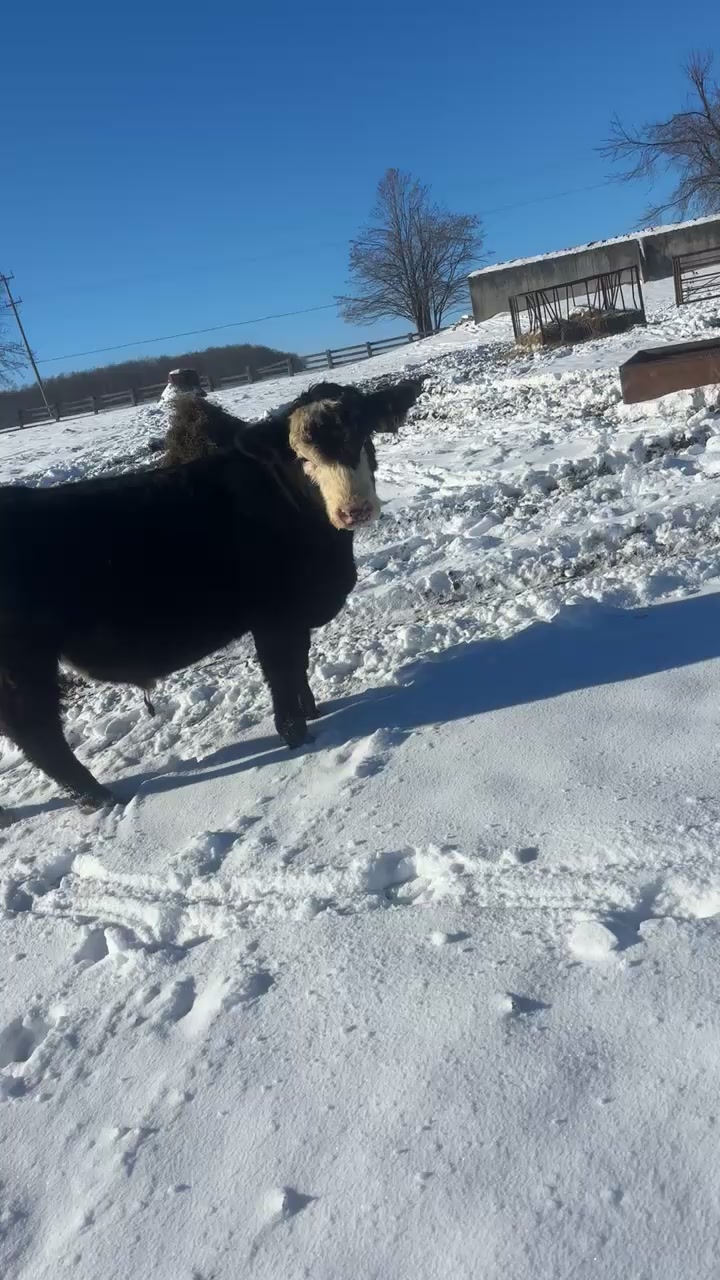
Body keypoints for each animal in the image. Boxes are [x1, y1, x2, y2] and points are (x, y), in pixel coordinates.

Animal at [0, 378, 423, 810]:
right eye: (300, 455)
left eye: (363, 434)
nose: (354, 510)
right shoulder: (272, 617)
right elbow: (281, 672)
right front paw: (297, 736)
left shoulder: (294, 616)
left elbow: (300, 664)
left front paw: (314, 709)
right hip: (22, 667)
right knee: (36, 732)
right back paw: (100, 797)